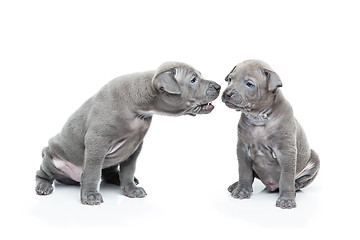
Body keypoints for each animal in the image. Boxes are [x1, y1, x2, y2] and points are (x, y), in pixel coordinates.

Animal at [37, 61, 222, 204]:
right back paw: (43, 186)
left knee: (108, 172)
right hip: (53, 160)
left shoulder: (134, 147)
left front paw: (131, 189)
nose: (218, 86)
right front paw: (90, 195)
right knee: (44, 173)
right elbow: (92, 171)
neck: (139, 108)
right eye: (193, 79)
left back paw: (118, 178)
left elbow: (128, 170)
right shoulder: (96, 142)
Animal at [222, 59, 320, 208]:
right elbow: (244, 172)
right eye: (230, 79)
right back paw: (235, 185)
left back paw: (295, 186)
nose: (227, 93)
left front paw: (286, 199)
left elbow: (286, 177)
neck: (258, 118)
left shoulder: (286, 151)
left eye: (249, 84)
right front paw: (242, 190)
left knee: (299, 180)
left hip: (314, 159)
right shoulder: (242, 149)